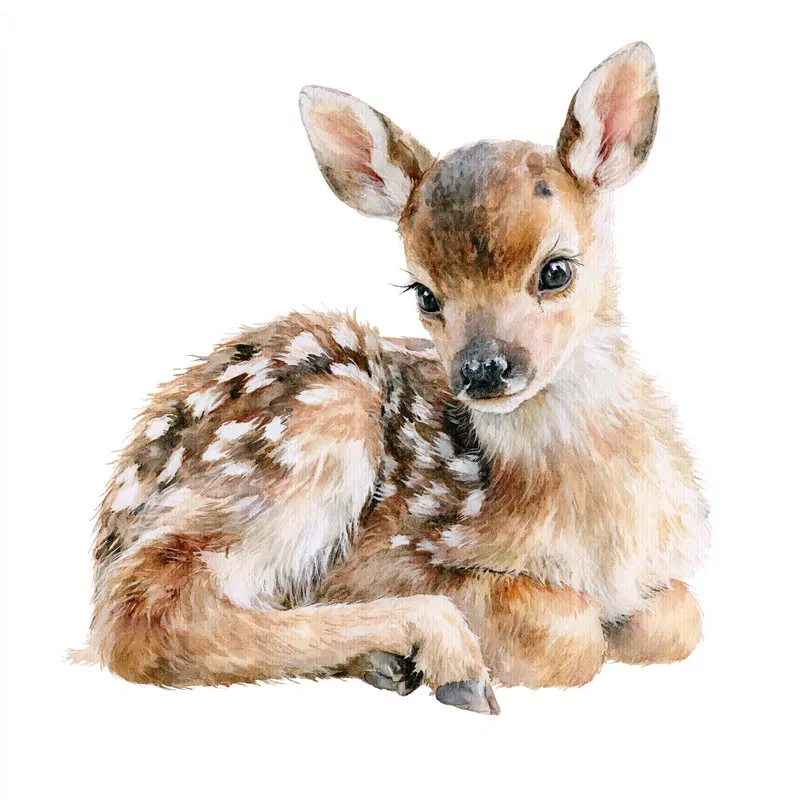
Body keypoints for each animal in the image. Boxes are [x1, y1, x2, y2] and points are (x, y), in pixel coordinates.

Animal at [75, 42, 709, 715]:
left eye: (557, 270)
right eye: (424, 294)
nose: (481, 369)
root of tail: (109, 528)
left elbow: (679, 620)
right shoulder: (401, 554)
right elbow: (566, 635)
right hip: (313, 424)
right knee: (145, 619)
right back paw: (443, 655)